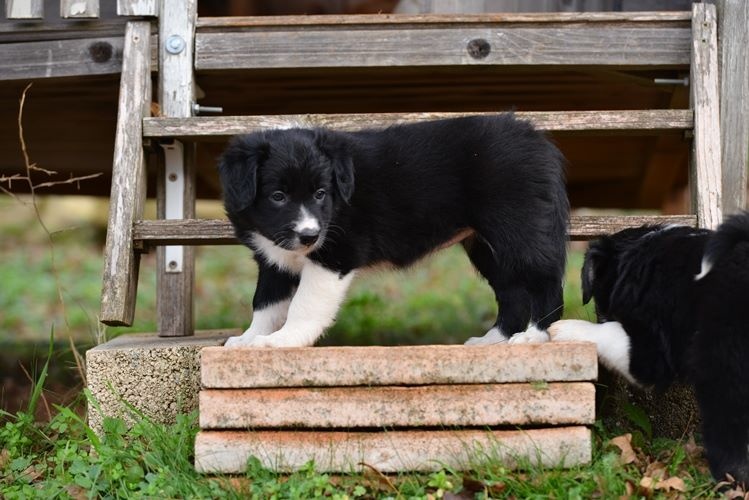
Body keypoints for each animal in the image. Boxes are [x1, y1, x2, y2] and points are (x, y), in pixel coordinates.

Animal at [216, 114, 568, 348]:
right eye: (278, 196)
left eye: (320, 193)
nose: (309, 236)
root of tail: (534, 138)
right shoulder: (273, 259)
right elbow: (266, 303)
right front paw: (248, 339)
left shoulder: (335, 254)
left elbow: (305, 303)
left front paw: (283, 340)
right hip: (486, 245)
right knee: (513, 291)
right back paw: (494, 339)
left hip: (518, 228)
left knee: (544, 280)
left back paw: (535, 335)